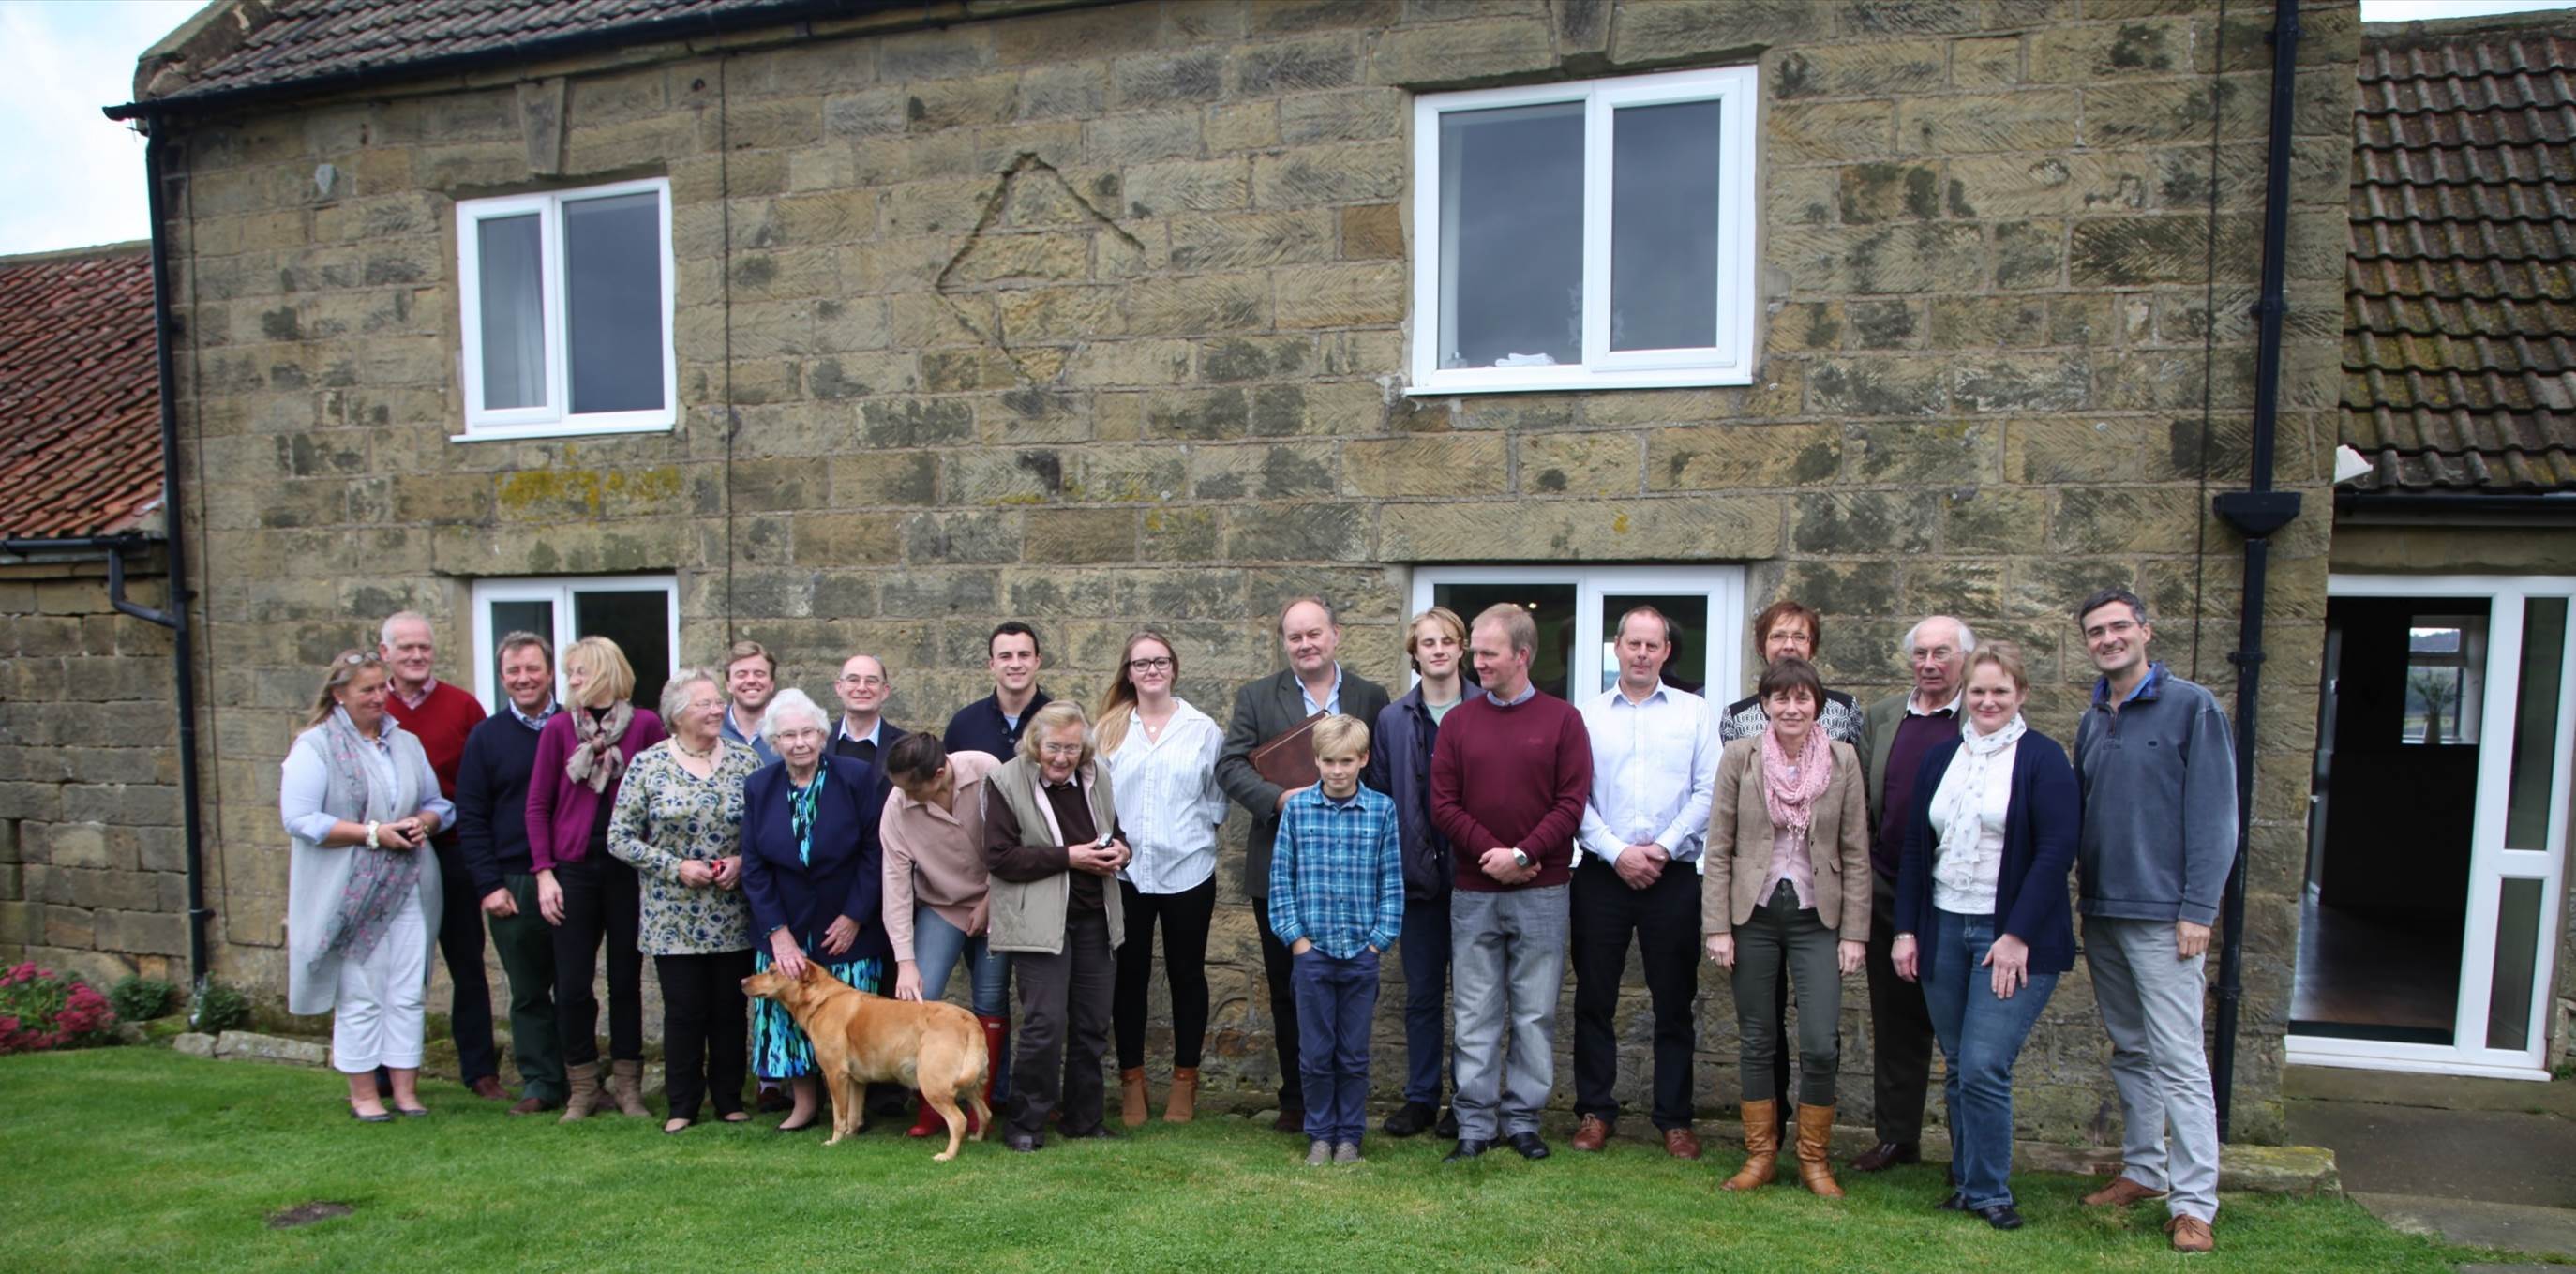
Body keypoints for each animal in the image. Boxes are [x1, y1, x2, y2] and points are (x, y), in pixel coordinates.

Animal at [752, 962, 989, 1162]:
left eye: (772, 971)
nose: (744, 981)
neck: (823, 1000)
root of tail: (968, 1020)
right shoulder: (857, 1081)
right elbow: (853, 1116)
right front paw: (850, 1136)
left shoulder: (835, 1074)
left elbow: (840, 1115)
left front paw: (834, 1141)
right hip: (968, 1083)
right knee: (985, 1113)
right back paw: (977, 1138)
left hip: (933, 1085)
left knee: (958, 1121)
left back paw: (948, 1155)